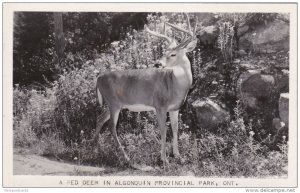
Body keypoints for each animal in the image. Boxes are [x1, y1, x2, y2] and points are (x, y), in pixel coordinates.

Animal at [85, 12, 199, 169]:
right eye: (164, 52)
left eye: (173, 54)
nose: (157, 63)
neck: (176, 86)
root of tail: (98, 78)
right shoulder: (159, 105)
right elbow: (163, 130)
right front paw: (164, 160)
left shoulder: (175, 108)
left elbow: (175, 129)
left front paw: (178, 156)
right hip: (113, 103)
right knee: (112, 127)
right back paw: (126, 158)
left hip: (112, 103)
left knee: (100, 118)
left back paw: (94, 149)